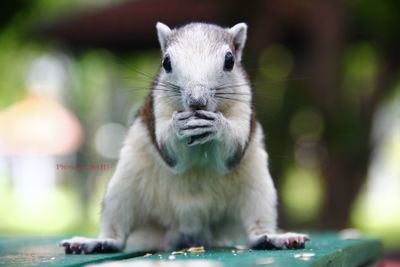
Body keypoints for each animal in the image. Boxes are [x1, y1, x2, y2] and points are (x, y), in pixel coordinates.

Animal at [60, 22, 310, 254]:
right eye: (166, 62)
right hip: (122, 188)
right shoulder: (157, 105)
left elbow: (232, 148)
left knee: (256, 229)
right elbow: (170, 150)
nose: (196, 100)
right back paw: (98, 242)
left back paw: (274, 238)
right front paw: (177, 126)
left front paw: (218, 125)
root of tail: (190, 230)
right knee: (116, 230)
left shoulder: (244, 105)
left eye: (229, 60)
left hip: (259, 190)